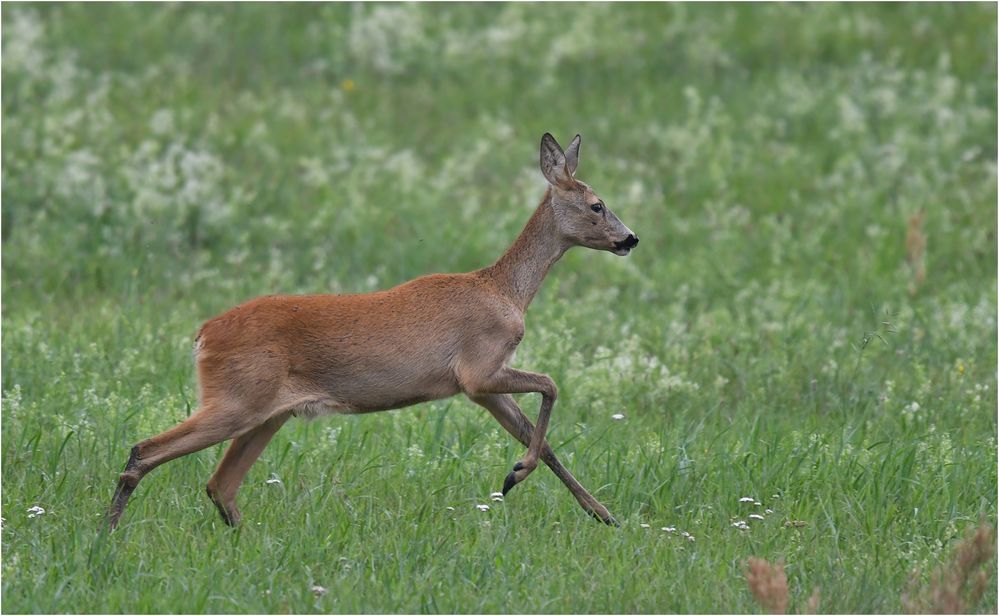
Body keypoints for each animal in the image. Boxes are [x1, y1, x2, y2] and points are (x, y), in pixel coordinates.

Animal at [107, 131, 640, 528]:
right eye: (597, 204)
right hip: (236, 400)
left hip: (267, 414)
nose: (631, 238)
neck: (505, 290)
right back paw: (107, 534)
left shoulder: (482, 388)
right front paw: (517, 474)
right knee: (145, 451)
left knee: (220, 485)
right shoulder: (477, 370)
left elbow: (542, 439)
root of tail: (202, 334)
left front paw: (602, 514)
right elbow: (551, 386)